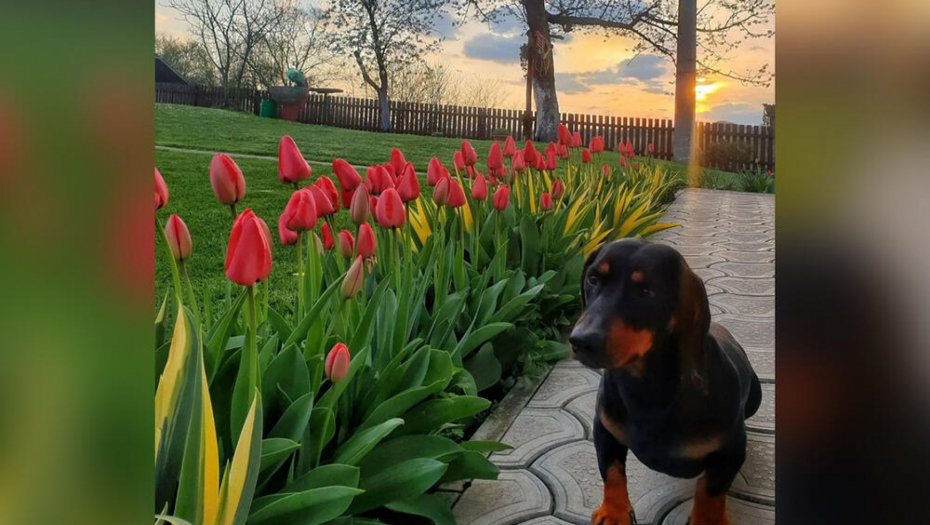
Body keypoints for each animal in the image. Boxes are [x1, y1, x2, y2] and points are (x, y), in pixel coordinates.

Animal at [564, 239, 760, 520]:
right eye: (593, 278)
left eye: (647, 291)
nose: (581, 341)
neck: (646, 388)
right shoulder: (604, 429)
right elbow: (611, 473)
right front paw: (614, 513)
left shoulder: (730, 452)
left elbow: (710, 490)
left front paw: (707, 519)